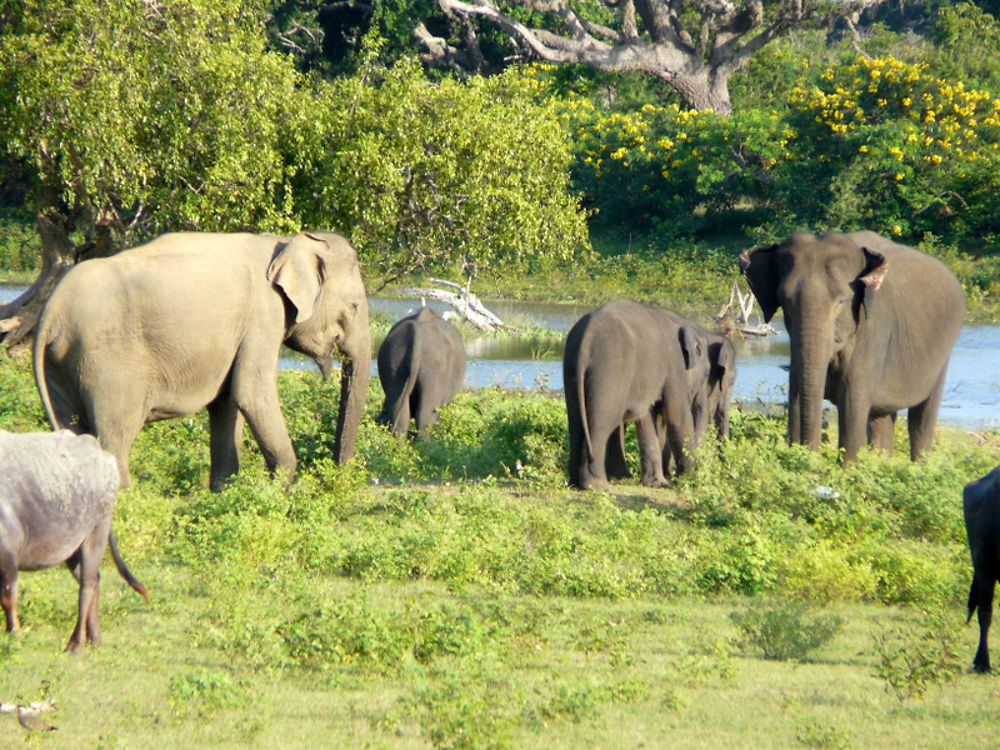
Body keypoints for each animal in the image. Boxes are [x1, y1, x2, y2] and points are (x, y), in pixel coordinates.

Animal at [0, 428, 148, 652]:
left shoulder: (8, 553)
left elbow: (8, 598)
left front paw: (14, 636)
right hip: (73, 548)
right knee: (94, 580)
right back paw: (94, 638)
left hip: (96, 532)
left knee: (87, 585)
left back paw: (76, 643)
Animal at [35, 229, 374, 490]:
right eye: (355, 306)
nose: (337, 478)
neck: (286, 241)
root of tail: (52, 310)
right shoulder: (263, 315)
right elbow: (251, 394)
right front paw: (279, 490)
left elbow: (227, 402)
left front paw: (224, 493)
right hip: (107, 362)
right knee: (115, 436)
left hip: (61, 362)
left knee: (74, 431)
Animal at [740, 231, 964, 464]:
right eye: (784, 300)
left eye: (841, 301)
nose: (811, 455)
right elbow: (797, 388)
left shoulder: (874, 330)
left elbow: (852, 401)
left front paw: (847, 466)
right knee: (882, 417)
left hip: (943, 353)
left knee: (922, 418)